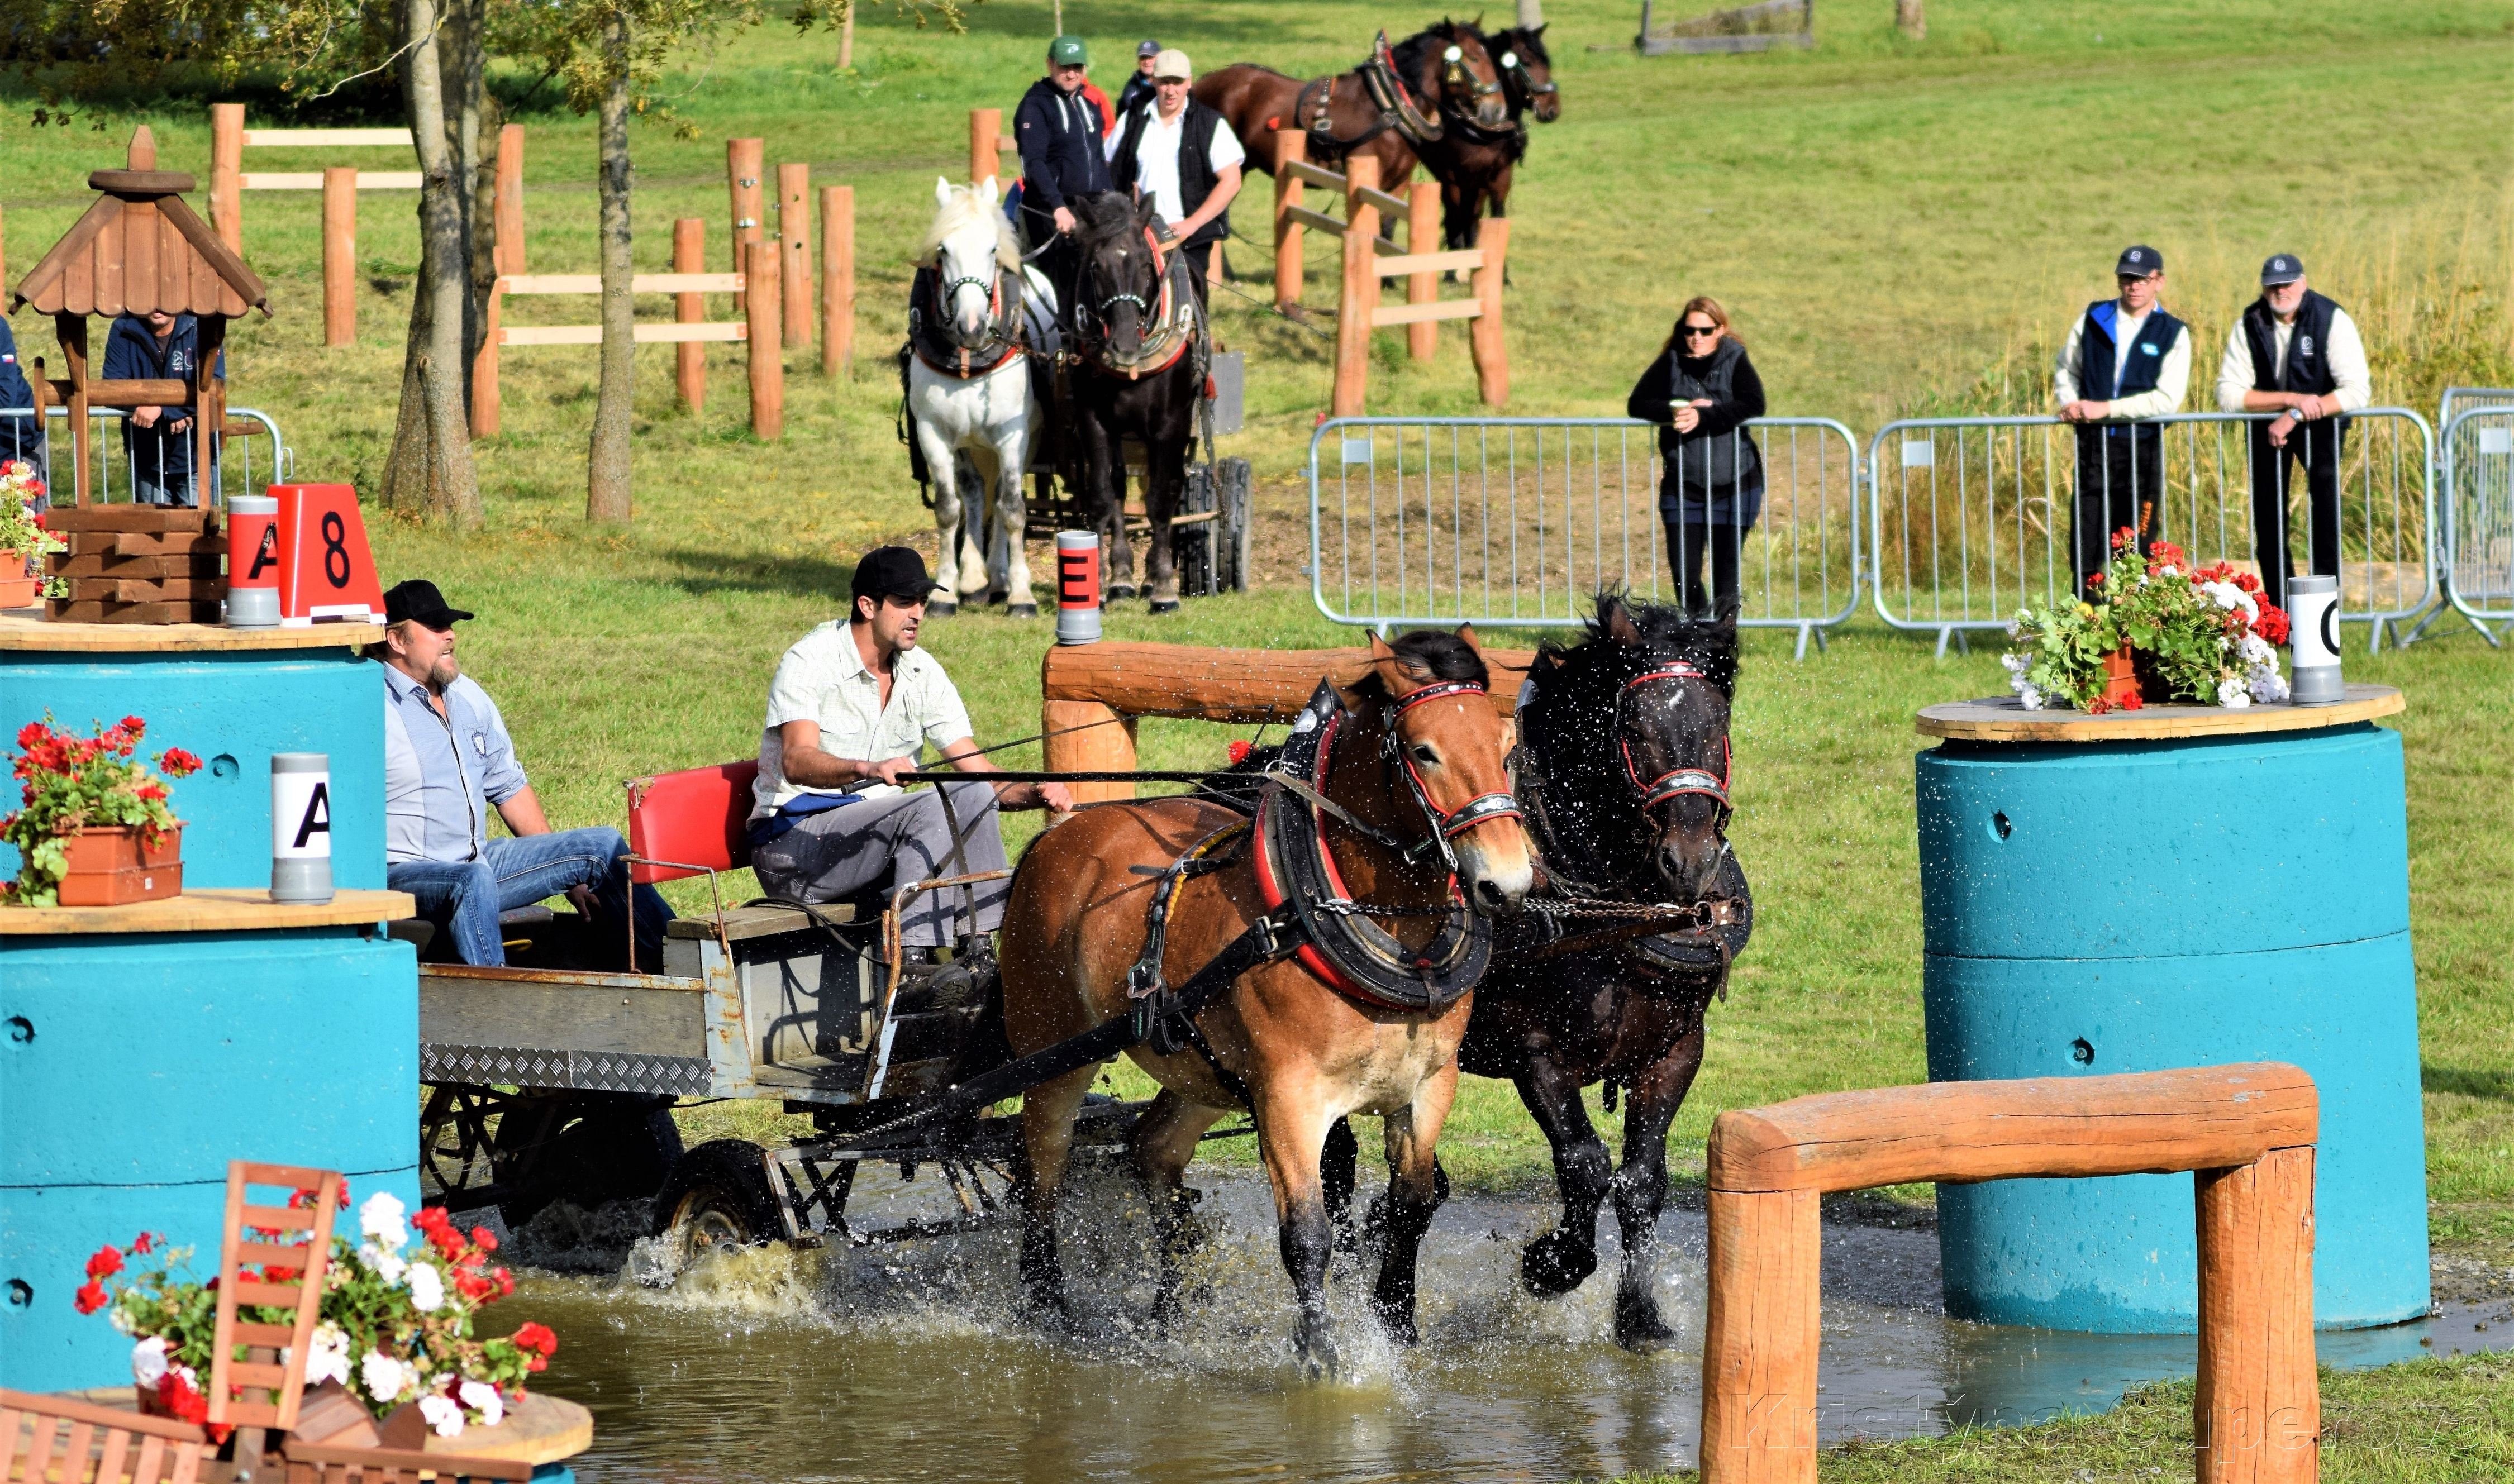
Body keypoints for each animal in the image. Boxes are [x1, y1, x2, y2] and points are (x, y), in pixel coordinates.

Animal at [900, 178, 1046, 616]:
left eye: (993, 249)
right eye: (943, 250)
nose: (971, 326)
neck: (968, 358)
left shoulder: (1014, 435)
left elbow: (1013, 508)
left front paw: (1022, 594)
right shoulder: (933, 434)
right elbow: (949, 510)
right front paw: (945, 590)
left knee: (999, 497)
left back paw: (999, 577)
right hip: (968, 443)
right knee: (977, 491)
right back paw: (978, 578)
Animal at [1001, 626, 1529, 1368]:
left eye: (1507, 746)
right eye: (1425, 750)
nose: (1506, 883)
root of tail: (1058, 833)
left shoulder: (1430, 1086)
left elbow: (1412, 1206)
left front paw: (1398, 1328)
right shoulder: (1289, 1095)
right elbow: (1307, 1232)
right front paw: (1323, 1354)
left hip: (1202, 1072)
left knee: (1152, 1149)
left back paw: (1172, 1311)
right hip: (1054, 1052)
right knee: (1043, 1166)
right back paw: (1047, 1302)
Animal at [1327, 598, 1760, 1358]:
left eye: (1718, 723)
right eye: (1632, 727)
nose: (1688, 860)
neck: (1614, 914)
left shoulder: (1676, 1049)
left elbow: (1641, 1181)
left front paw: (1640, 1315)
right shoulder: (1537, 1054)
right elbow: (1584, 1164)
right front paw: (1551, 1262)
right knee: (1338, 1163)